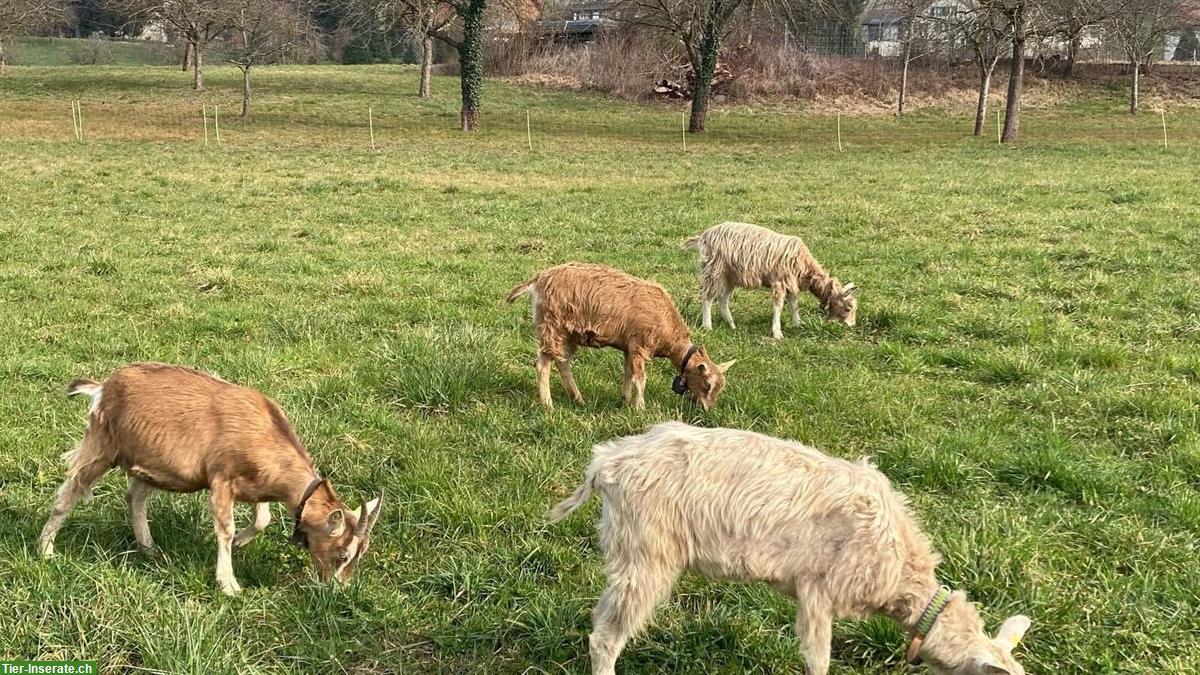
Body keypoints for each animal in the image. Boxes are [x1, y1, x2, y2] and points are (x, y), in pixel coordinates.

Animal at [38, 362, 384, 593]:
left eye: (361, 553)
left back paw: (149, 549)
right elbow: (225, 529)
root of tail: (103, 388)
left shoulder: (254, 486)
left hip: (148, 464)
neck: (263, 431)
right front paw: (228, 583)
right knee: (70, 490)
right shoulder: (221, 480)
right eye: (342, 554)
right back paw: (46, 550)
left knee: (135, 497)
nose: (338, 589)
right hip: (102, 446)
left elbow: (264, 519)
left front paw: (242, 543)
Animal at [504, 263, 729, 410]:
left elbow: (628, 374)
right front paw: (640, 408)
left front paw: (625, 400)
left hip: (567, 333)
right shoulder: (639, 346)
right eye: (707, 384)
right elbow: (640, 378)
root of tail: (538, 280)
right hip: (553, 326)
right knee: (543, 364)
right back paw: (548, 405)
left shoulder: (629, 348)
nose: (706, 409)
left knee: (562, 362)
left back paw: (578, 399)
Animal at [549, 420, 1032, 672]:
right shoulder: (817, 589)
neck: (899, 571)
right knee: (606, 635)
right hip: (647, 552)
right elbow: (818, 659)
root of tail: (606, 462)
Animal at [681, 219, 859, 336]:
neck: (804, 266)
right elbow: (778, 306)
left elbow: (794, 305)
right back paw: (707, 326)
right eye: (848, 308)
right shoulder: (780, 281)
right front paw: (777, 332)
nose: (851, 325)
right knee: (707, 297)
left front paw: (798, 324)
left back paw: (731, 325)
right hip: (714, 270)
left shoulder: (791, 284)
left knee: (723, 299)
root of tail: (703, 236)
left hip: (730, 276)